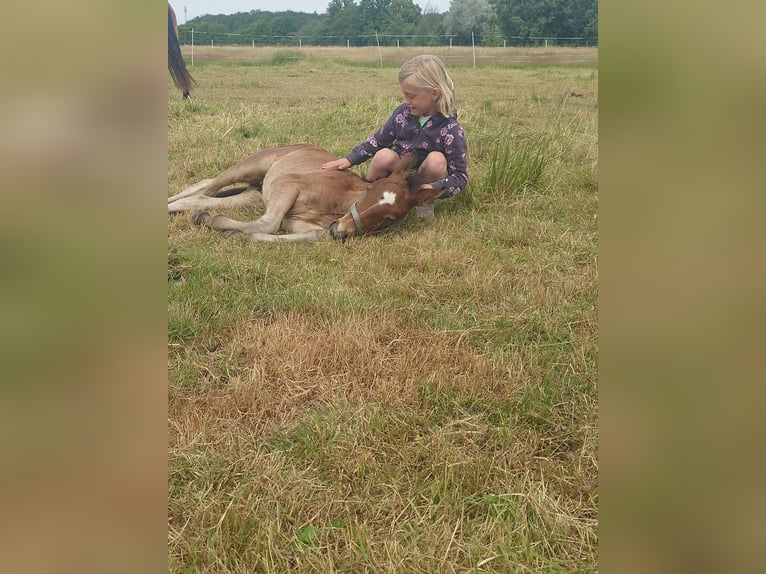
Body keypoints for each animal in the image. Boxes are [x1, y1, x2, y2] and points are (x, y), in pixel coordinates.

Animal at [167, 144, 443, 242]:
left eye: (390, 217)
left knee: (202, 197)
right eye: (369, 192)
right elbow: (269, 223)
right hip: (252, 165)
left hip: (254, 195)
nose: (341, 229)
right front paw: (210, 221)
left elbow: (306, 235)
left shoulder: (298, 224)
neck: (335, 205)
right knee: (206, 185)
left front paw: (234, 232)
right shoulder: (287, 185)